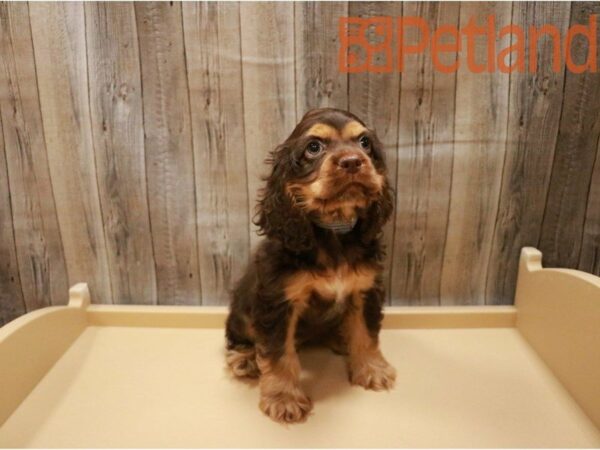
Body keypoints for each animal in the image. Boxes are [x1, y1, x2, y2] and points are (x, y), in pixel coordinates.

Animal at [224, 107, 394, 424]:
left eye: (364, 142)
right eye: (314, 147)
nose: (353, 161)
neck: (334, 230)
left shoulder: (365, 290)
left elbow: (366, 333)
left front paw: (372, 370)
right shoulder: (278, 302)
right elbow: (279, 354)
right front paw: (284, 399)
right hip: (241, 312)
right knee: (240, 336)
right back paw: (244, 359)